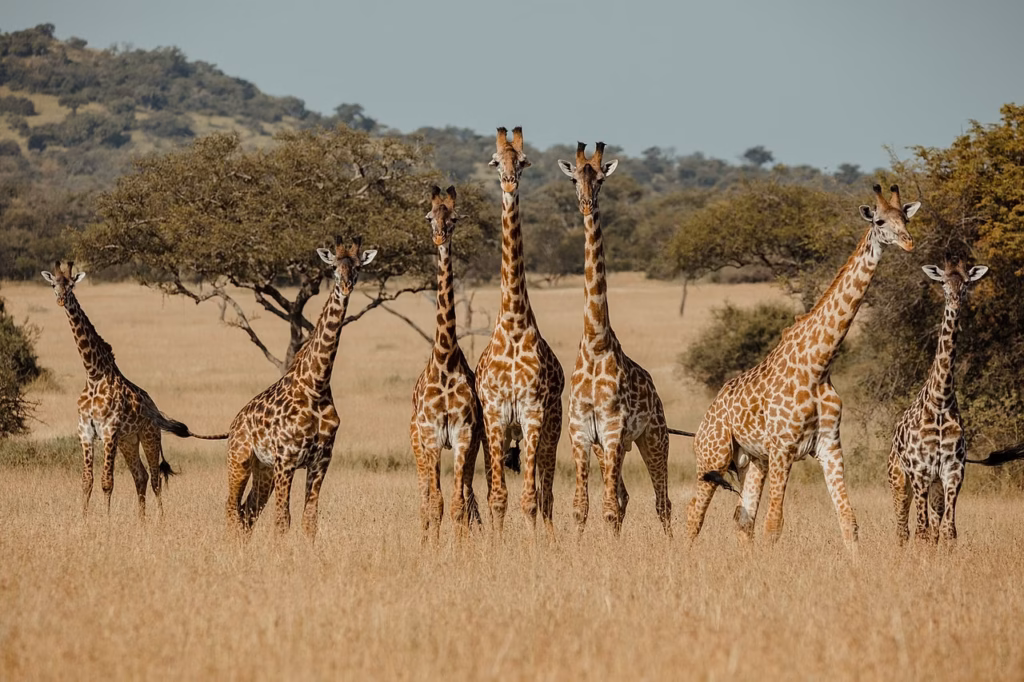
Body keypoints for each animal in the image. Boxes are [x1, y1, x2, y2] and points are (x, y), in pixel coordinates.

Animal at [40, 261, 228, 518]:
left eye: (71, 286)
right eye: (53, 285)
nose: (61, 299)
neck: (94, 374)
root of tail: (156, 410)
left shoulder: (109, 431)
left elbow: (106, 482)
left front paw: (107, 521)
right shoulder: (85, 431)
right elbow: (87, 481)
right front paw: (84, 519)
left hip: (149, 437)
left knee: (155, 479)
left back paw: (159, 519)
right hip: (128, 441)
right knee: (141, 476)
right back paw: (142, 520)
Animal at [225, 237, 376, 538]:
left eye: (357, 268)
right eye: (333, 268)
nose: (346, 286)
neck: (316, 385)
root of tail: (235, 422)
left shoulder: (320, 460)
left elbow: (309, 520)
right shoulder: (286, 459)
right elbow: (282, 520)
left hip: (264, 470)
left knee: (247, 512)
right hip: (239, 460)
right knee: (231, 509)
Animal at [557, 141, 672, 535]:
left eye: (602, 179)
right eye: (574, 177)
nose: (586, 203)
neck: (595, 342)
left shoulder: (611, 431)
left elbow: (606, 508)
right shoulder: (581, 434)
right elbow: (581, 507)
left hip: (653, 438)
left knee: (662, 502)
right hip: (613, 447)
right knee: (623, 496)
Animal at [685, 184, 919, 547]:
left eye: (905, 218)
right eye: (880, 221)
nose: (909, 242)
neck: (819, 364)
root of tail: (707, 416)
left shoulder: (829, 446)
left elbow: (848, 520)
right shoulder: (783, 447)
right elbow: (774, 524)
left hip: (753, 460)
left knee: (742, 517)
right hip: (713, 456)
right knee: (694, 514)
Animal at [887, 257, 988, 544]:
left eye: (966, 283)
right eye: (943, 282)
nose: (955, 299)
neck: (941, 400)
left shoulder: (952, 471)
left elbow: (947, 531)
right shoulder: (920, 471)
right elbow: (921, 532)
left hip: (934, 487)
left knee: (932, 528)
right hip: (899, 480)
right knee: (903, 529)